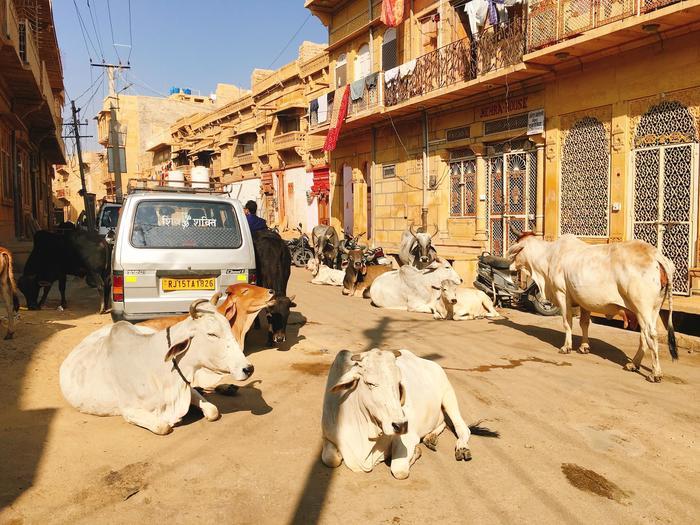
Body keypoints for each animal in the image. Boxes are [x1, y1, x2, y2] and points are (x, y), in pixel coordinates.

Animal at [58, 298, 253, 434]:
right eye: (212, 334)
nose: (248, 368)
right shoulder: (129, 410)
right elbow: (163, 427)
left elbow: (212, 411)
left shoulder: (185, 385)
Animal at [322, 348, 498, 478]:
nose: (400, 425)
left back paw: (461, 448)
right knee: (441, 423)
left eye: (398, 383)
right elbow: (330, 459)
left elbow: (399, 470)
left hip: (449, 396)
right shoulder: (327, 436)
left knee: (462, 428)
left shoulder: (408, 438)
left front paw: (416, 451)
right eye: (370, 383)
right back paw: (430, 438)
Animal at [508, 232, 680, 380]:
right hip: (652, 309)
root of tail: (656, 255)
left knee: (651, 334)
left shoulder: (562, 294)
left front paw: (566, 347)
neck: (548, 257)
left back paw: (655, 373)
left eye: (517, 247)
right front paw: (584, 347)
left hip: (642, 307)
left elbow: (567, 323)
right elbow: (584, 323)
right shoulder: (584, 300)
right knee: (644, 335)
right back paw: (633, 364)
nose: (508, 265)